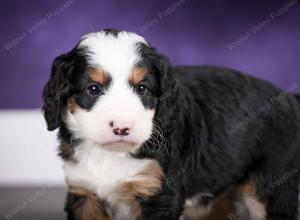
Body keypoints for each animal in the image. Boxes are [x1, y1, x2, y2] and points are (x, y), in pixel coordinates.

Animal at [42, 29, 300, 220]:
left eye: (142, 88)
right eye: (93, 89)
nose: (122, 128)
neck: (110, 156)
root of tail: (288, 97)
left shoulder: (159, 193)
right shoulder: (84, 193)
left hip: (272, 187)